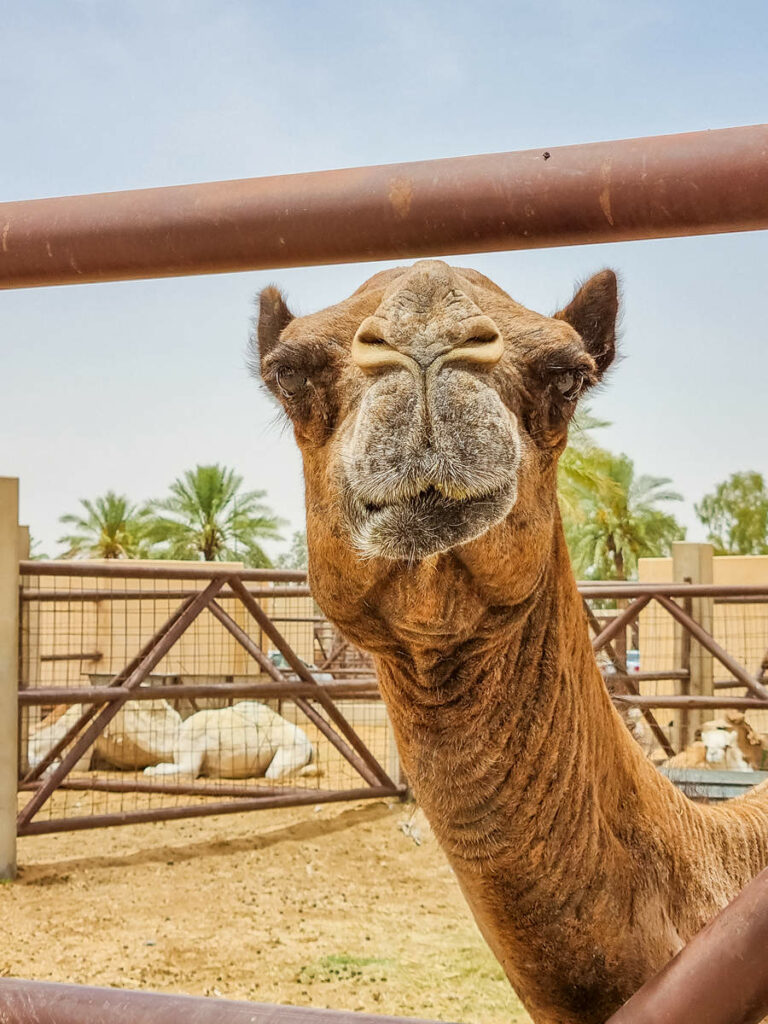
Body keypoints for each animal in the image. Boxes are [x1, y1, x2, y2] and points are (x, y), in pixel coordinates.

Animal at [144, 700, 315, 778]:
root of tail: (309, 743)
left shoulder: (191, 750)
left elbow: (179, 770)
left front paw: (150, 770)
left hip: (292, 747)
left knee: (274, 773)